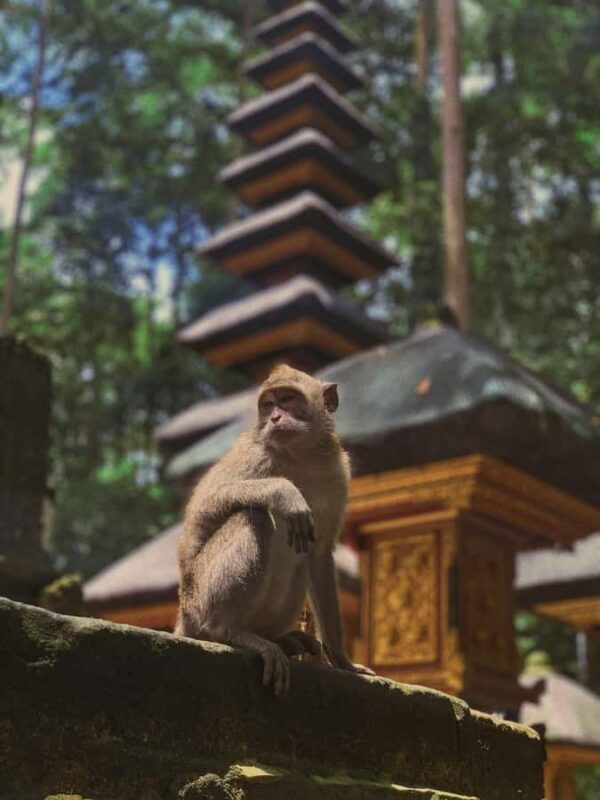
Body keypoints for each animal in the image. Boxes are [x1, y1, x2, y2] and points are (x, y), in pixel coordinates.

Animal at [175, 364, 374, 696]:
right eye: (268, 404)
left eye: (288, 399)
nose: (275, 418)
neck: (301, 455)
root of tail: (183, 611)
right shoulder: (253, 455)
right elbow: (206, 505)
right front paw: (284, 492)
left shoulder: (337, 475)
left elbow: (320, 555)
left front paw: (342, 660)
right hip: (200, 595)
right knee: (252, 515)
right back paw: (228, 632)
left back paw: (283, 638)